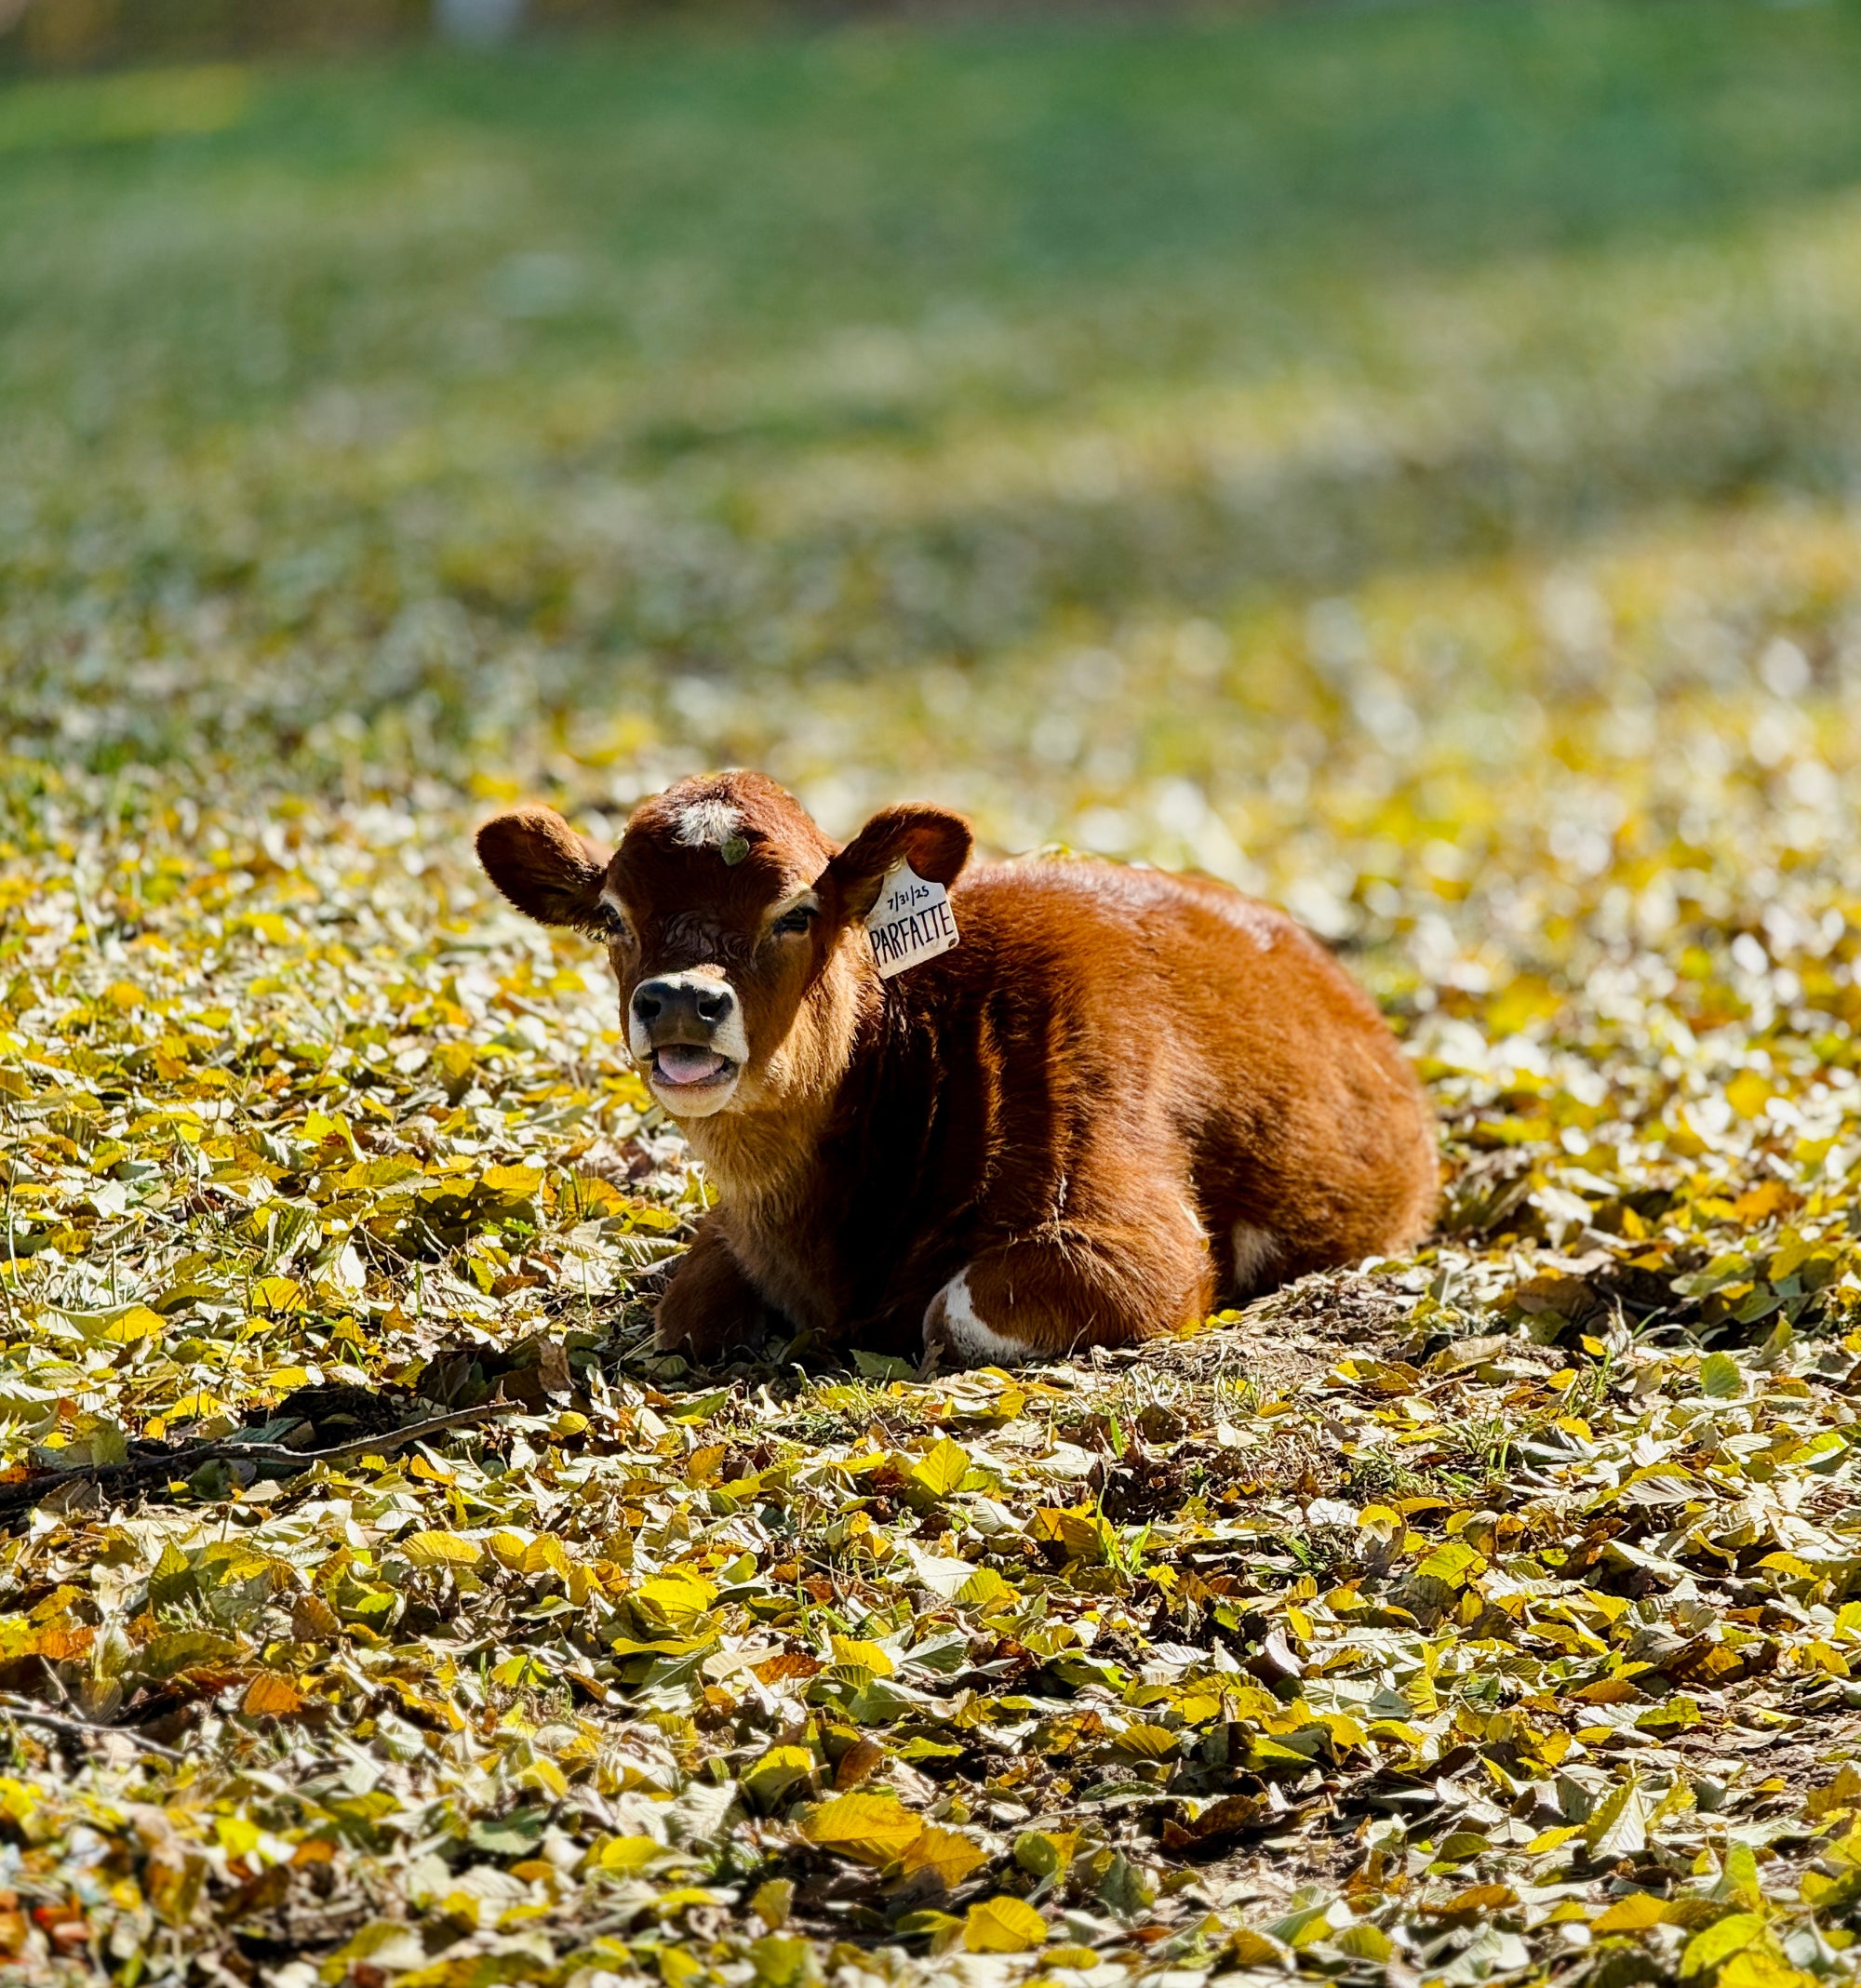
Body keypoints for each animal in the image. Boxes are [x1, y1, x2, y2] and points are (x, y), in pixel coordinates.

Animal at [476, 770, 1437, 1367]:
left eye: (798, 912)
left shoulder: (1149, 1244)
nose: (680, 999)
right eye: (612, 916)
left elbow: (955, 1309)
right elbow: (684, 1309)